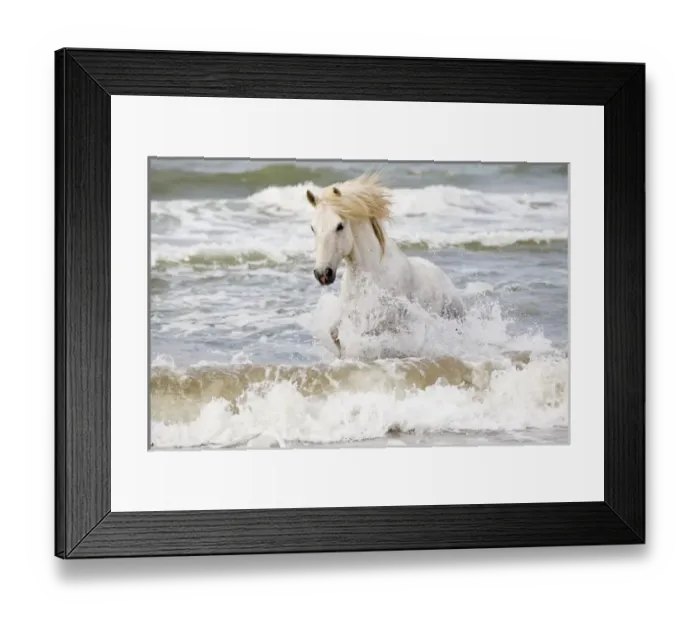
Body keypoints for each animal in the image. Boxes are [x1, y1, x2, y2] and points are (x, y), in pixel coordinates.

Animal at [307, 172, 466, 357]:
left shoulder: (381, 322)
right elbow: (334, 333)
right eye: (312, 228)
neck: (371, 274)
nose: (322, 274)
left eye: (339, 226)